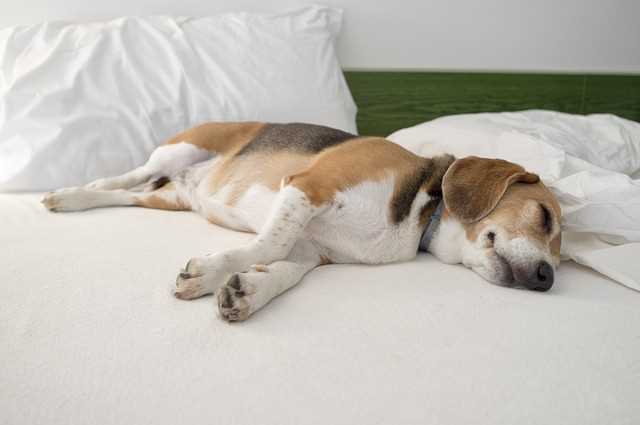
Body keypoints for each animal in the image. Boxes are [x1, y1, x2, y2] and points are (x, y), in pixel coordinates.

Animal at [41, 121, 560, 320]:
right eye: (544, 215)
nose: (547, 277)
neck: (422, 213)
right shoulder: (310, 186)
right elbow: (269, 246)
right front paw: (209, 272)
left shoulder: (313, 250)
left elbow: (285, 270)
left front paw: (246, 290)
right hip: (177, 150)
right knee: (118, 178)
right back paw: (66, 194)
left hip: (166, 200)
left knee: (124, 195)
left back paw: (76, 200)